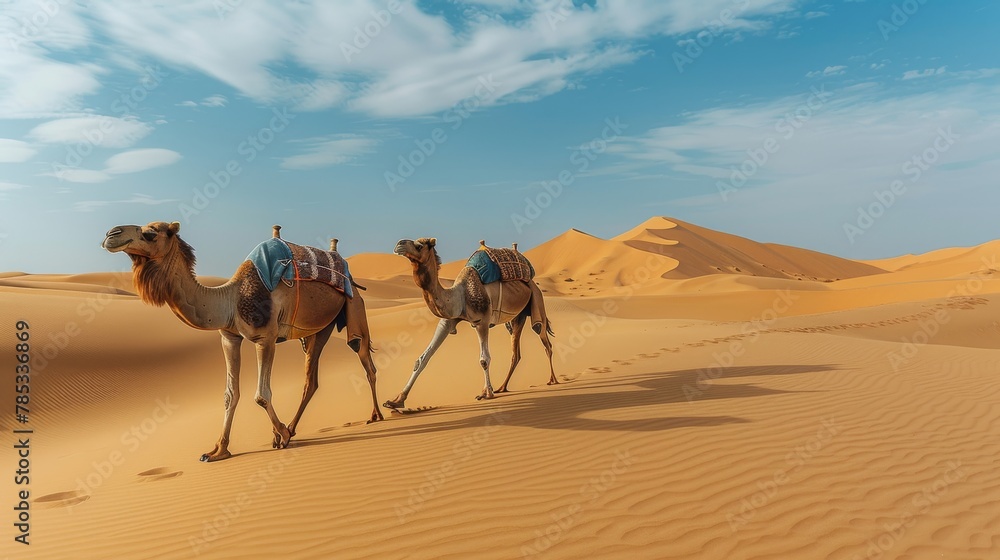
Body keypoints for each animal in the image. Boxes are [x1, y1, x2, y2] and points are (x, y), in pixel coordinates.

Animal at [102, 221, 382, 462]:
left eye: (151, 233)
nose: (111, 234)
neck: (231, 299)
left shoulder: (265, 337)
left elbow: (261, 395)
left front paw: (281, 435)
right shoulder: (229, 338)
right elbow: (230, 394)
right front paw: (218, 450)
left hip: (354, 306)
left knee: (366, 362)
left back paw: (376, 415)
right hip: (319, 329)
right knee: (310, 381)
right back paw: (293, 427)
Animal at [383, 237, 556, 409]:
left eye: (419, 246)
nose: (399, 244)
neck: (459, 296)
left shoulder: (482, 321)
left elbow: (484, 359)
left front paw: (487, 393)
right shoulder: (447, 321)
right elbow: (422, 359)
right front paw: (396, 400)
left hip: (537, 301)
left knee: (545, 341)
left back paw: (552, 380)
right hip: (517, 317)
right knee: (516, 353)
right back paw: (502, 387)